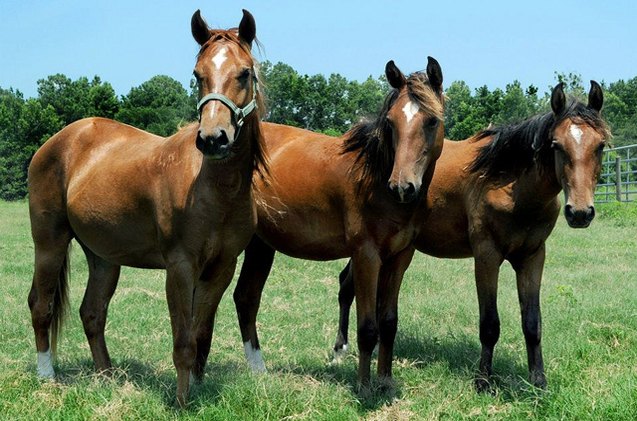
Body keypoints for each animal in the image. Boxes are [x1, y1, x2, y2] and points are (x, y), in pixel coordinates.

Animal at [26, 9, 266, 404]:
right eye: (197, 74)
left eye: (244, 72)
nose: (213, 139)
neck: (215, 190)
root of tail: (61, 138)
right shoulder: (180, 266)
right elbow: (183, 342)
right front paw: (182, 401)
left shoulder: (222, 268)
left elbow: (201, 334)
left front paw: (197, 388)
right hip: (50, 242)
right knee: (41, 305)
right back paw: (48, 376)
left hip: (103, 257)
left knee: (92, 313)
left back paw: (107, 377)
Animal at [231, 57, 444, 388]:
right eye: (391, 122)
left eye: (432, 120)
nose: (402, 187)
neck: (375, 180)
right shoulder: (366, 256)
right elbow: (367, 327)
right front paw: (364, 386)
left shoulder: (399, 258)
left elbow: (388, 322)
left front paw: (385, 380)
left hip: (261, 245)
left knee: (246, 298)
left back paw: (258, 370)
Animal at [332, 81, 612, 390]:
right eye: (556, 145)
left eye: (600, 145)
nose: (580, 213)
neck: (507, 183)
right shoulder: (487, 256)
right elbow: (489, 324)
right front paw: (483, 380)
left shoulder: (533, 256)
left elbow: (532, 322)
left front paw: (538, 380)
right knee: (346, 286)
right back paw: (340, 349)